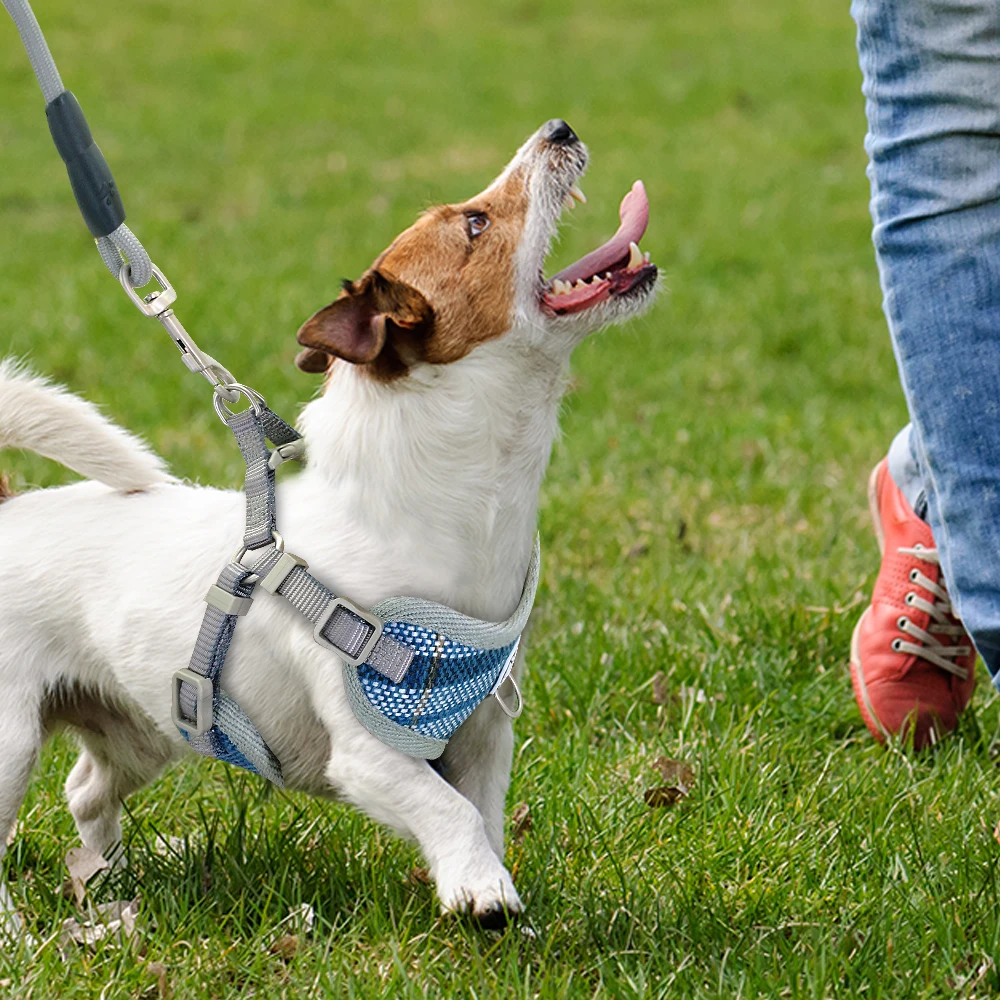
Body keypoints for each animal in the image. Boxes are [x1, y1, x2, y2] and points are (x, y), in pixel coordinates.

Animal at [0, 121, 660, 932]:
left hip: (141, 726)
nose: (559, 129)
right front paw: (481, 891)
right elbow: (450, 812)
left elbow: (484, 816)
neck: (460, 516)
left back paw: (104, 879)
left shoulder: (482, 737)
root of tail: (7, 504)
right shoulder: (367, 757)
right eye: (476, 223)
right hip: (12, 742)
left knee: (85, 791)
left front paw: (493, 897)